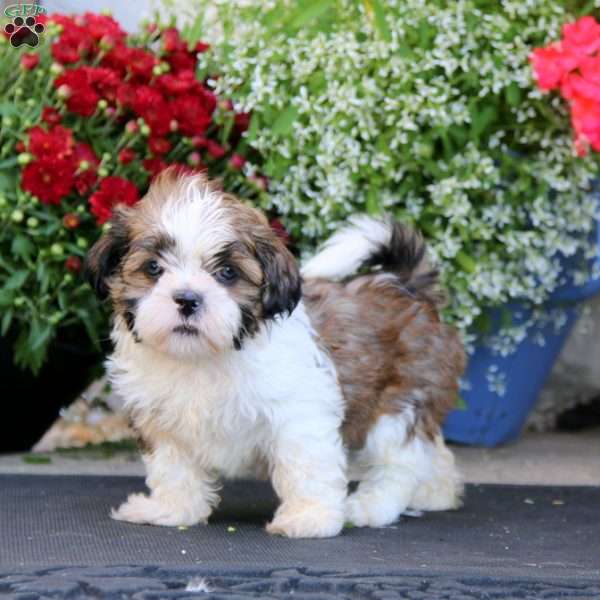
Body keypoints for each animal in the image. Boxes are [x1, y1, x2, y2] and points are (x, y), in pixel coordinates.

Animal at [86, 168, 466, 540]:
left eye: (227, 272)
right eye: (153, 268)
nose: (188, 299)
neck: (202, 357)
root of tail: (405, 287)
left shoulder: (301, 414)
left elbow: (305, 466)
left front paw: (310, 518)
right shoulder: (161, 420)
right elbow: (173, 468)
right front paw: (172, 510)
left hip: (399, 400)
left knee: (400, 461)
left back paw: (372, 506)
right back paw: (437, 493)